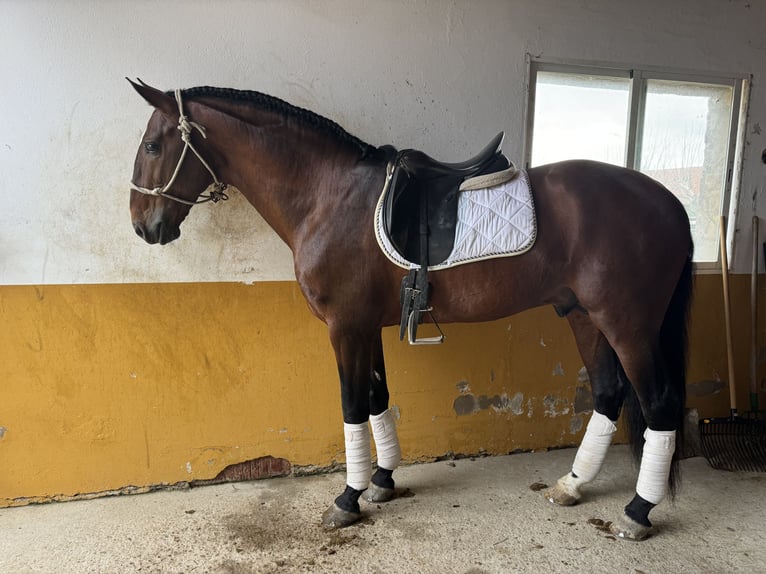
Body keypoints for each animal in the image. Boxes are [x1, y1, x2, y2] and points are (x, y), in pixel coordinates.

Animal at [127, 79, 696, 544]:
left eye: (153, 145)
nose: (142, 226)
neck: (328, 196)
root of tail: (670, 202)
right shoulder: (366, 327)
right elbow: (378, 398)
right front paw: (381, 481)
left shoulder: (345, 328)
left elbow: (352, 405)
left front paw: (348, 499)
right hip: (583, 315)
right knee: (608, 395)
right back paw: (572, 485)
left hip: (627, 323)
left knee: (660, 404)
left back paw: (638, 512)